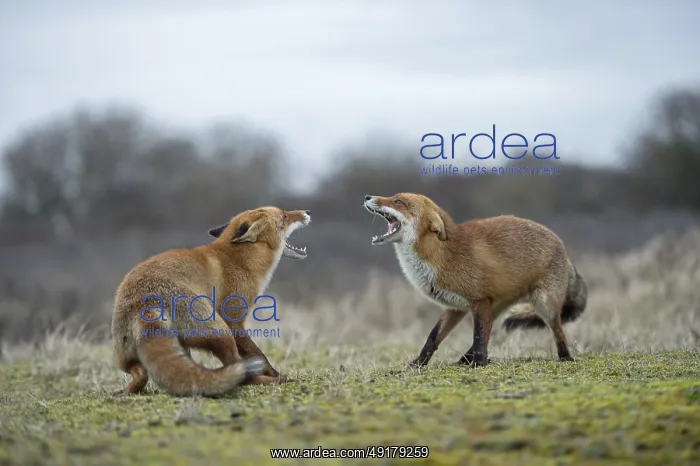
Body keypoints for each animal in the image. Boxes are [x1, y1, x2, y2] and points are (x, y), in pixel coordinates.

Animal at [111, 206, 311, 396]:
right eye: (284, 216)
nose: (307, 212)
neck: (242, 260)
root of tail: (145, 302)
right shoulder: (233, 319)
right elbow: (259, 355)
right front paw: (276, 374)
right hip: (219, 329)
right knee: (237, 369)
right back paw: (270, 380)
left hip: (129, 354)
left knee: (141, 373)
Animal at [362, 193, 587, 368]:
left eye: (398, 201)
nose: (367, 197)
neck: (441, 256)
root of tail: (563, 248)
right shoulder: (455, 307)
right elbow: (433, 338)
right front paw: (418, 364)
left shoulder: (478, 301)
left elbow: (478, 336)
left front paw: (479, 364)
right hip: (496, 306)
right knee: (489, 330)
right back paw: (465, 359)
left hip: (543, 305)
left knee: (559, 332)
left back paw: (565, 357)